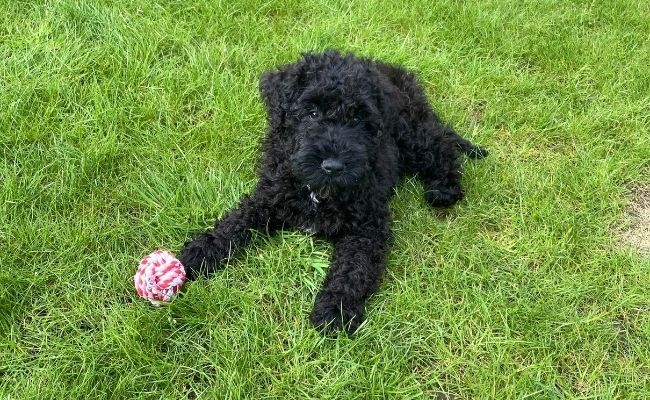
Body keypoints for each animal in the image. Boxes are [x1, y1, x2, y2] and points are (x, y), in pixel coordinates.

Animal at [178, 51, 486, 336]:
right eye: (312, 113)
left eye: (359, 117)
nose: (333, 166)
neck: (318, 191)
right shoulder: (269, 196)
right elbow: (236, 222)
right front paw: (198, 254)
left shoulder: (367, 227)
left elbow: (353, 268)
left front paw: (334, 310)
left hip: (411, 132)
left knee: (440, 147)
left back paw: (443, 189)